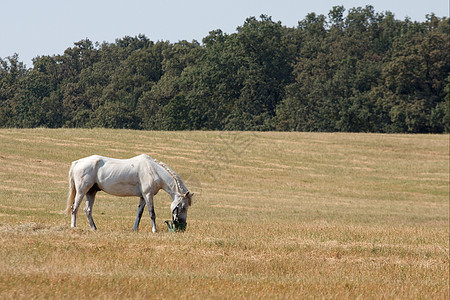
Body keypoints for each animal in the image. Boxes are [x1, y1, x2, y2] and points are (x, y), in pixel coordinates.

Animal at [65, 155, 193, 232]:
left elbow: (139, 214)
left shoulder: (143, 197)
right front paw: (154, 230)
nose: (182, 223)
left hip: (91, 192)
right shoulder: (148, 195)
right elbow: (152, 213)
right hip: (82, 191)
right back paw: (73, 226)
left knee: (87, 210)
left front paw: (135, 229)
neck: (153, 171)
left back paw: (94, 228)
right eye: (183, 206)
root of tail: (77, 162)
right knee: (74, 207)